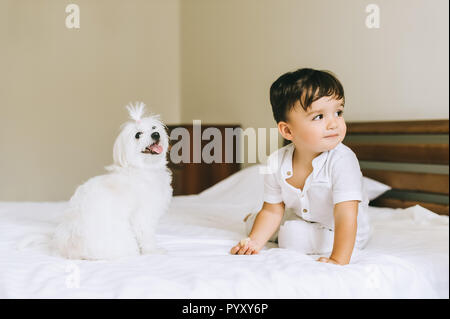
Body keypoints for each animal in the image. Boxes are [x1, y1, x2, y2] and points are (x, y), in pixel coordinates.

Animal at [51, 102, 172, 260]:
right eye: (138, 135)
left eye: (153, 128)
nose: (156, 134)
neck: (143, 168)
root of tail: (73, 250)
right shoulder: (143, 215)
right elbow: (146, 235)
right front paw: (153, 251)